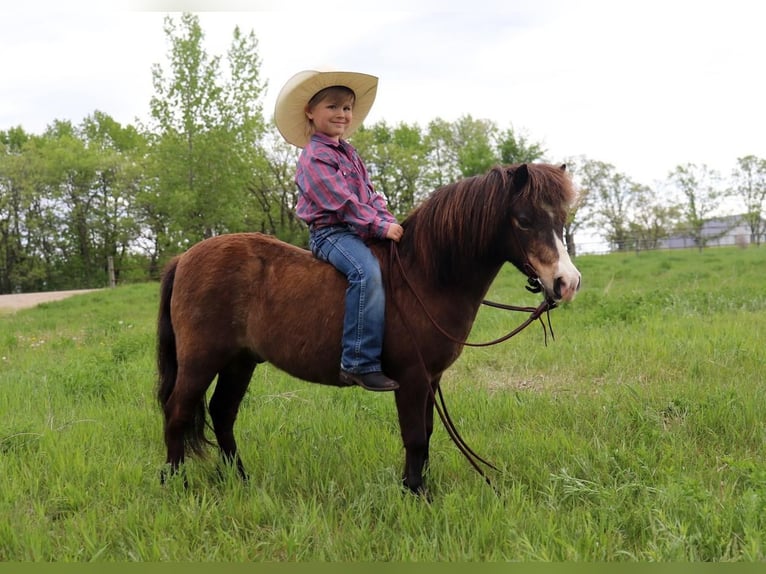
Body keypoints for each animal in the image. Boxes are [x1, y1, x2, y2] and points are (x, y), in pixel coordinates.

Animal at [159, 162, 584, 496]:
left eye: (561, 220)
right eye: (524, 220)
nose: (567, 283)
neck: (424, 275)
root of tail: (184, 257)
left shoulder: (430, 379)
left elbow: (426, 433)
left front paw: (416, 488)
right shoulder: (411, 379)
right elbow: (415, 437)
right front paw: (416, 495)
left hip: (239, 362)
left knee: (222, 413)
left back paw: (240, 480)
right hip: (201, 361)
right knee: (178, 412)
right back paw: (176, 485)